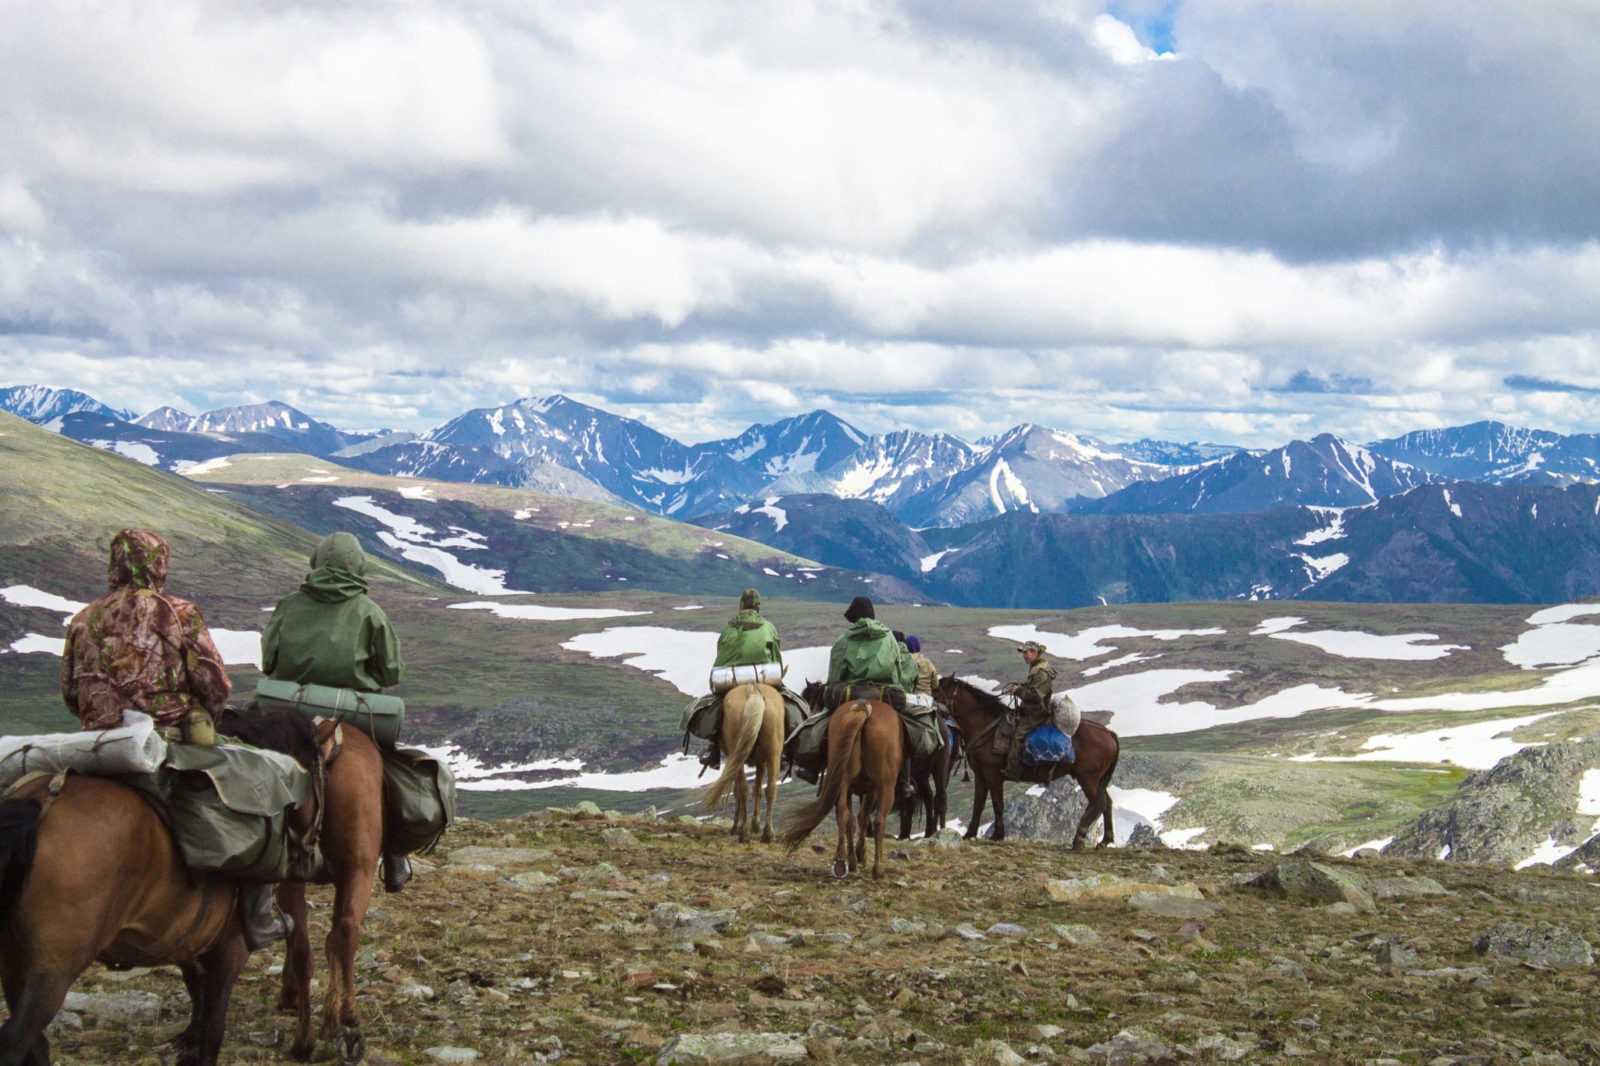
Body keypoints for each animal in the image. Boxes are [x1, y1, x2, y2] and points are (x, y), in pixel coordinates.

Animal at [780, 681, 908, 877]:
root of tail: (863, 707)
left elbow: (852, 820)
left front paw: (855, 859)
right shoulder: (871, 790)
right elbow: (863, 817)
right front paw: (861, 854)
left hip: (842, 779)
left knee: (843, 815)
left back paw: (841, 862)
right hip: (885, 785)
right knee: (879, 820)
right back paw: (878, 869)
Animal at [934, 672, 1120, 845]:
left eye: (936, 691)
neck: (986, 728)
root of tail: (1108, 733)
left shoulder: (993, 775)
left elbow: (997, 804)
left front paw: (997, 835)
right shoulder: (981, 776)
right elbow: (978, 805)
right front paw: (969, 834)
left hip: (1088, 778)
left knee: (1099, 803)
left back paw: (1079, 839)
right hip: (1096, 779)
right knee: (1107, 802)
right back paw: (1105, 840)